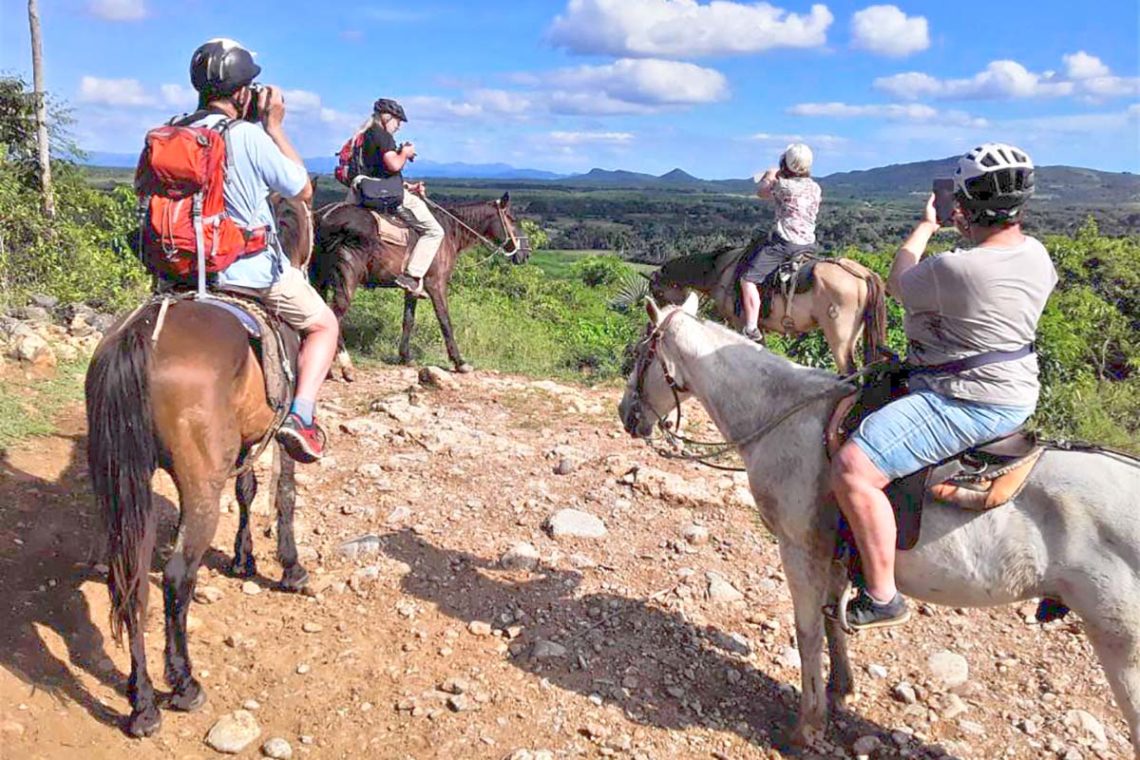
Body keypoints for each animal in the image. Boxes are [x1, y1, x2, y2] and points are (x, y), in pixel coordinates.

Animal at [85, 194, 312, 738]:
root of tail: (139, 337)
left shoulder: (248, 438)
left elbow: (248, 490)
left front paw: (243, 559)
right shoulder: (279, 432)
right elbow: (284, 493)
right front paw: (290, 568)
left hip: (124, 486)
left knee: (129, 580)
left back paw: (143, 703)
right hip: (200, 486)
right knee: (174, 577)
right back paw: (183, 683)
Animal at [307, 190, 528, 380]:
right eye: (512, 219)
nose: (526, 253)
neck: (450, 231)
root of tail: (324, 217)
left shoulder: (412, 287)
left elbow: (408, 320)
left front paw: (405, 356)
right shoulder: (436, 284)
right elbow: (445, 321)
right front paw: (459, 362)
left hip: (319, 279)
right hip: (347, 277)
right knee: (335, 315)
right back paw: (346, 367)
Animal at [624, 293, 1140, 756]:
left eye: (641, 354)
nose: (626, 414)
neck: (784, 416)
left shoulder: (799, 549)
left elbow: (807, 632)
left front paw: (806, 728)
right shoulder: (834, 554)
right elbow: (831, 621)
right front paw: (839, 690)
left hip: (1123, 649)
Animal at [652, 247, 889, 373]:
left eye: (658, 294)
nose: (659, 326)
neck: (720, 270)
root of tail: (864, 273)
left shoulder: (741, 323)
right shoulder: (759, 327)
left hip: (839, 336)